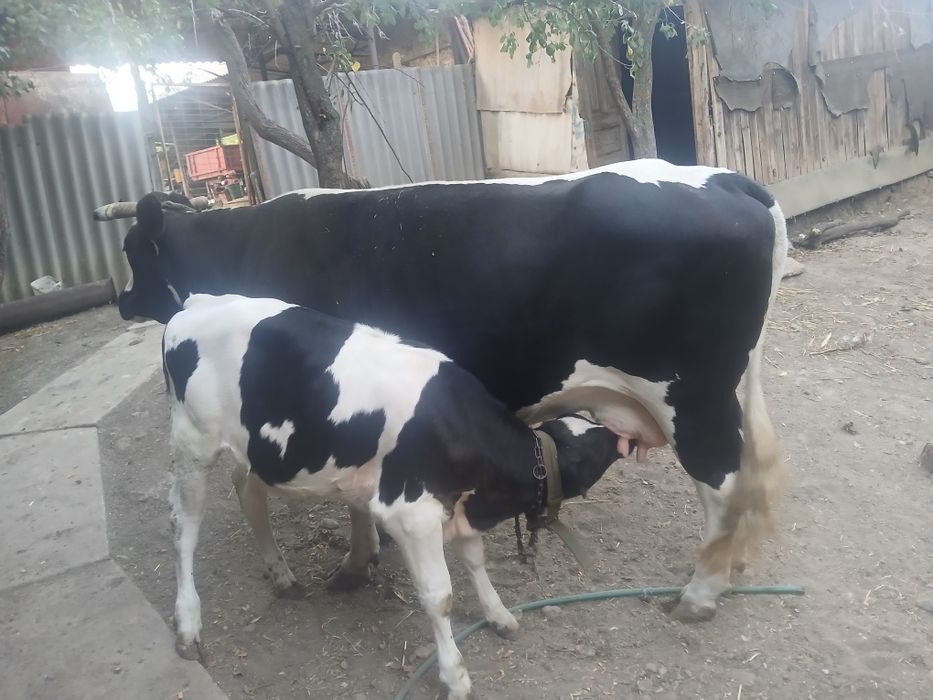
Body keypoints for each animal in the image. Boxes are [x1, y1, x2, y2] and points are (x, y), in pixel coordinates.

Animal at [97, 159, 788, 621]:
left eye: (132, 250)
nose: (121, 300)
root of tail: (725, 178)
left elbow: (253, 493)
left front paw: (317, 567)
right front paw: (359, 560)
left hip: (692, 396)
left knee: (723, 486)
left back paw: (699, 594)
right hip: (719, 393)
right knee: (745, 479)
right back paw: (728, 566)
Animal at [164, 293, 626, 699]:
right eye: (586, 453)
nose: (618, 435)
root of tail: (198, 303)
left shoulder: (456, 503)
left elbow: (475, 559)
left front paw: (499, 615)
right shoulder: (411, 514)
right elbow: (439, 595)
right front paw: (456, 675)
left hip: (258, 450)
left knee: (247, 494)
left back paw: (281, 575)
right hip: (192, 442)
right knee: (184, 528)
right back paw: (188, 623)